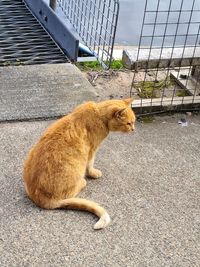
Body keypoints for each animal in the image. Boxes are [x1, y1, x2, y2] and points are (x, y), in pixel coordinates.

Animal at [23, 98, 136, 230]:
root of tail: (40, 198)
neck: (99, 113)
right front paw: (93, 173)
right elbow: (90, 164)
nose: (133, 129)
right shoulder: (92, 150)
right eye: (129, 123)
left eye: (133, 122)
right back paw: (82, 182)